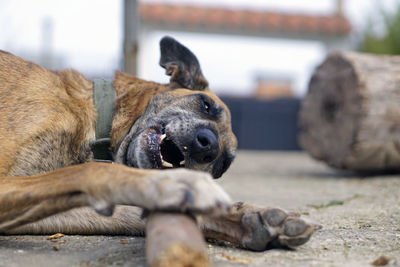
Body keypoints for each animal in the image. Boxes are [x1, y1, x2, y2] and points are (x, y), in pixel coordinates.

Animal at [0, 36, 318, 251]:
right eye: (206, 105)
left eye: (222, 165)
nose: (208, 146)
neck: (96, 115)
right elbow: (93, 171)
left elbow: (127, 209)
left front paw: (249, 218)